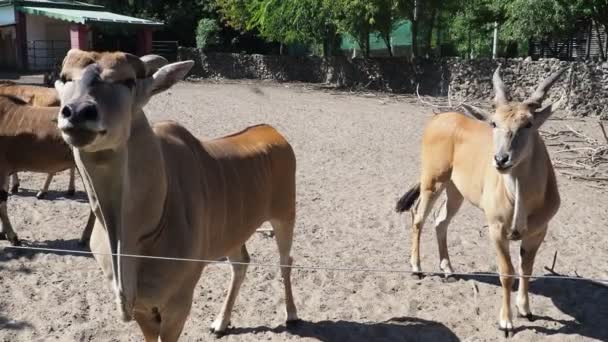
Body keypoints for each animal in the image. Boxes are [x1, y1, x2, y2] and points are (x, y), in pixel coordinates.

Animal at [55, 48, 298, 342]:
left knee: (286, 261)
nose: (78, 112)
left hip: (285, 217)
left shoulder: (178, 305)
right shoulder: (143, 308)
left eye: (128, 81)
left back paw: (292, 314)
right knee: (241, 264)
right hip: (233, 234)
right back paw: (221, 322)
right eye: (65, 77)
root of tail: (272, 132)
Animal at [396, 67, 564, 336]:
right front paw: (506, 322)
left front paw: (525, 309)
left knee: (440, 221)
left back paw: (448, 269)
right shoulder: (497, 229)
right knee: (418, 217)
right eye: (494, 122)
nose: (501, 159)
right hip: (433, 181)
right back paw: (416, 268)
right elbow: (507, 273)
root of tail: (438, 119)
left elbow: (526, 270)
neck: (520, 195)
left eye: (528, 123)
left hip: (455, 192)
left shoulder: (538, 232)